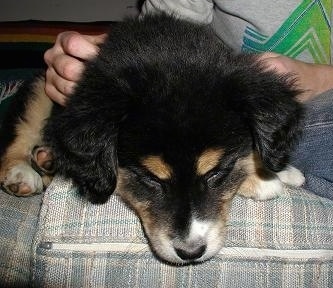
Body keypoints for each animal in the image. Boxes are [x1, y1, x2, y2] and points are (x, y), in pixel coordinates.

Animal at [0, 14, 304, 264]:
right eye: (150, 178)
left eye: (216, 172)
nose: (191, 253)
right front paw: (263, 181)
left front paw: (279, 171)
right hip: (39, 89)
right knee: (21, 135)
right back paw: (23, 173)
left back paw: (47, 160)